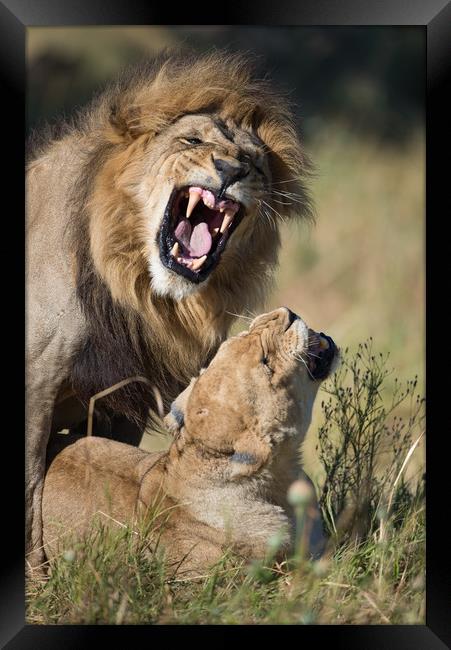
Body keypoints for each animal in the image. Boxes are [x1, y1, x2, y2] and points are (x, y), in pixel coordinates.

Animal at [26, 52, 312, 568]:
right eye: (193, 141)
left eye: (254, 162)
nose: (230, 170)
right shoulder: (35, 379)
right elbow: (28, 488)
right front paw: (36, 575)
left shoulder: (121, 396)